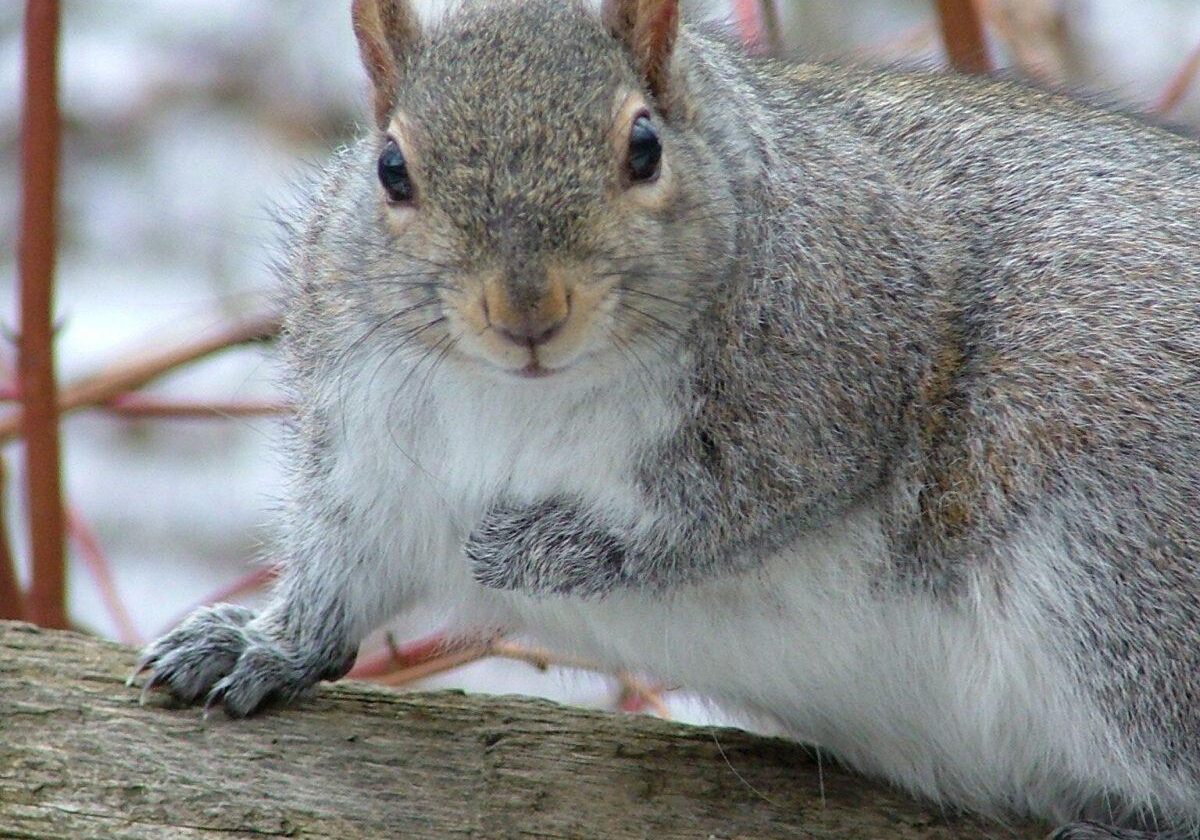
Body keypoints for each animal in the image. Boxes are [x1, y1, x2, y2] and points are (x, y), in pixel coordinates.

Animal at [131, 3, 1200, 835]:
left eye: (644, 148)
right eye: (392, 168)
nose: (527, 311)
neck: (524, 396)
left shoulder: (843, 367)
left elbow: (726, 514)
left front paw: (537, 548)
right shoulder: (371, 452)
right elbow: (346, 569)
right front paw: (261, 643)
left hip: (1123, 582)